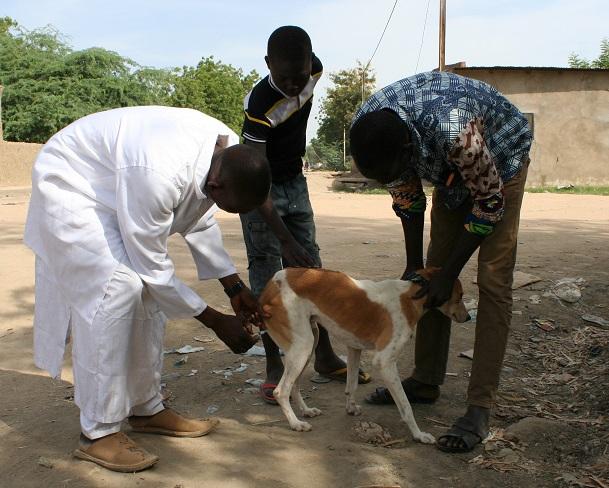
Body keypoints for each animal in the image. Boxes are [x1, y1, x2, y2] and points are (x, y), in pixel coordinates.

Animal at [258, 268, 468, 444]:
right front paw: (419, 435)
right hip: (303, 346)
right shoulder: (385, 361)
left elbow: (351, 385)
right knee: (281, 391)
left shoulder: (353, 348)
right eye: (460, 296)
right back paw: (296, 424)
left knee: (294, 385)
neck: (411, 296)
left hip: (309, 345)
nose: (467, 317)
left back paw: (306, 411)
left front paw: (350, 408)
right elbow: (405, 405)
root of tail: (271, 284)